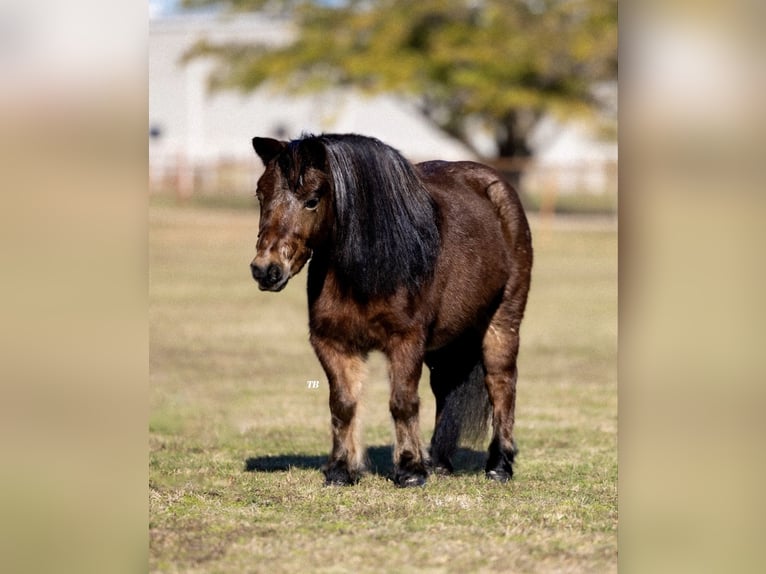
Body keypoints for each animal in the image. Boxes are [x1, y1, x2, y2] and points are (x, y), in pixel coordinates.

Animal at [249, 133, 532, 488]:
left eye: (312, 200)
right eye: (261, 194)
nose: (266, 270)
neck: (368, 269)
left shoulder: (406, 341)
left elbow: (402, 402)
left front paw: (410, 471)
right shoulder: (333, 344)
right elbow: (343, 404)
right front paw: (341, 470)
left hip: (503, 322)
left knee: (502, 384)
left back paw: (499, 465)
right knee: (446, 388)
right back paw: (439, 462)